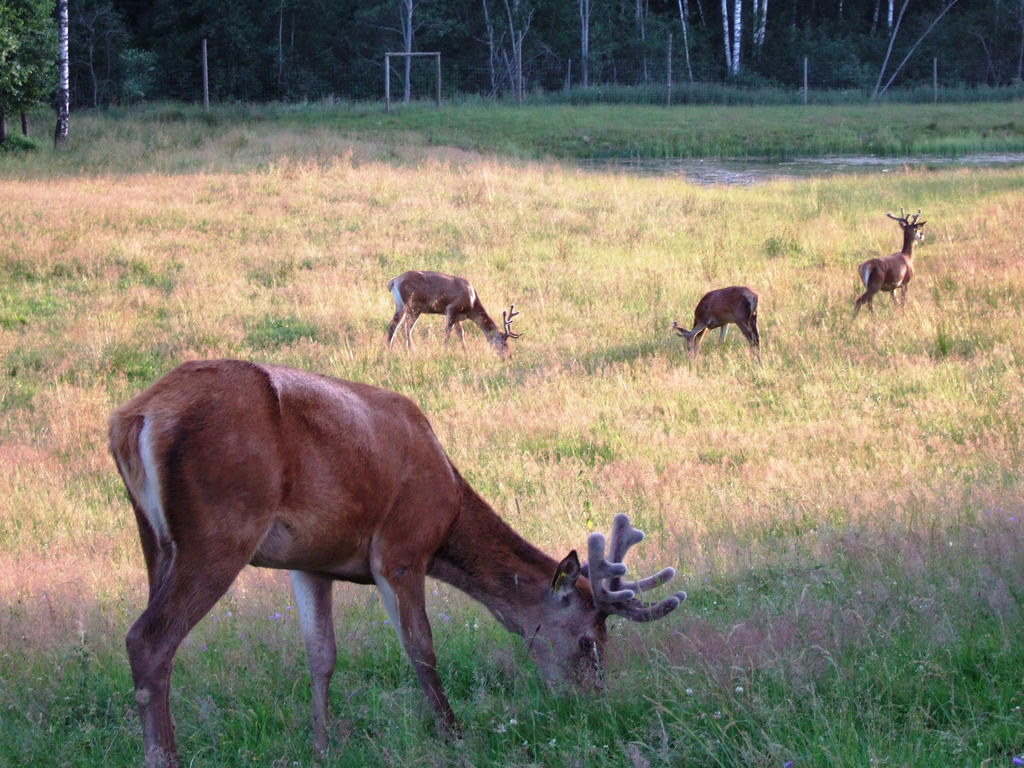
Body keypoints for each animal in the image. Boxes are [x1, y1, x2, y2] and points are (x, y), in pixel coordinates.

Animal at [110, 360, 688, 768]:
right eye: (589, 640)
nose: (594, 703)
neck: (449, 511)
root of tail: (133, 418)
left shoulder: (310, 562)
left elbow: (321, 655)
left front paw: (323, 746)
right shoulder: (402, 548)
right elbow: (421, 648)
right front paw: (453, 733)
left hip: (154, 537)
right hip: (221, 526)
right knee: (147, 638)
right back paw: (164, 757)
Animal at [389, 270, 524, 360]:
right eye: (503, 342)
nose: (509, 356)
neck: (471, 303)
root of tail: (394, 281)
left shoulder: (458, 317)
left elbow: (460, 333)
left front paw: (466, 351)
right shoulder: (451, 309)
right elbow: (447, 332)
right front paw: (445, 351)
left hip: (400, 305)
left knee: (393, 325)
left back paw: (388, 347)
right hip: (413, 306)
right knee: (405, 327)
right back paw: (412, 350)